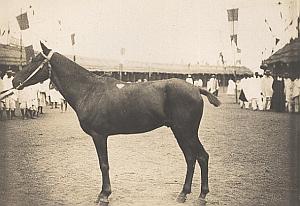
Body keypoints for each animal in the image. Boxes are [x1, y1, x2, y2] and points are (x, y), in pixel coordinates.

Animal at [12, 42, 220, 206]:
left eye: (35, 60)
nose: (14, 80)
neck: (89, 90)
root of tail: (196, 89)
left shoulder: (99, 136)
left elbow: (103, 164)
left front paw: (104, 195)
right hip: (179, 132)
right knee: (191, 158)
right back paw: (183, 194)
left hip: (186, 131)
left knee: (202, 157)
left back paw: (202, 196)